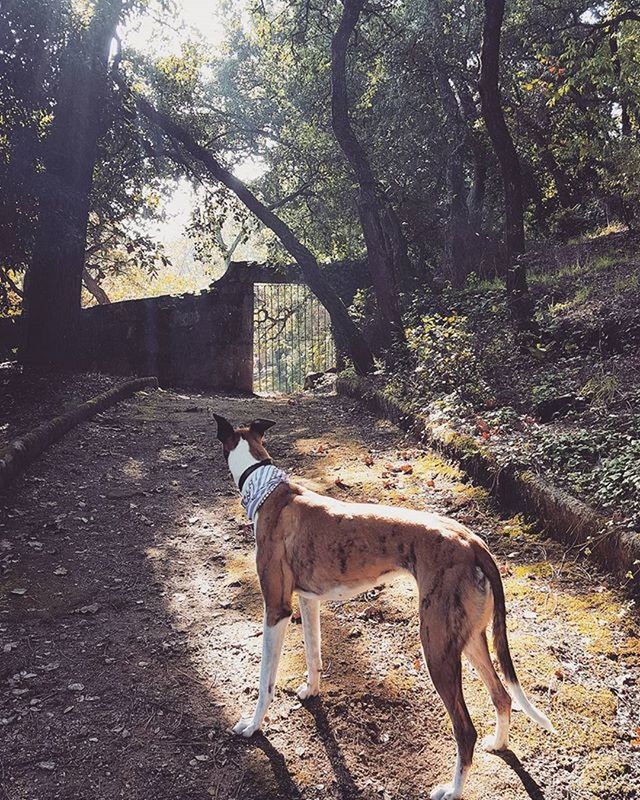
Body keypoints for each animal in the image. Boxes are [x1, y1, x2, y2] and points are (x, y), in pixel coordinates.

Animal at [212, 416, 552, 796]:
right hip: (468, 639)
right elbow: (314, 657)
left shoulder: (276, 609)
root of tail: (472, 542)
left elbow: (265, 681)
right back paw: (499, 743)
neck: (269, 490)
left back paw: (453, 790)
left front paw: (253, 725)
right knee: (502, 697)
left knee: (465, 730)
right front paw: (311, 692)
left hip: (436, 645)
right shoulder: (308, 600)